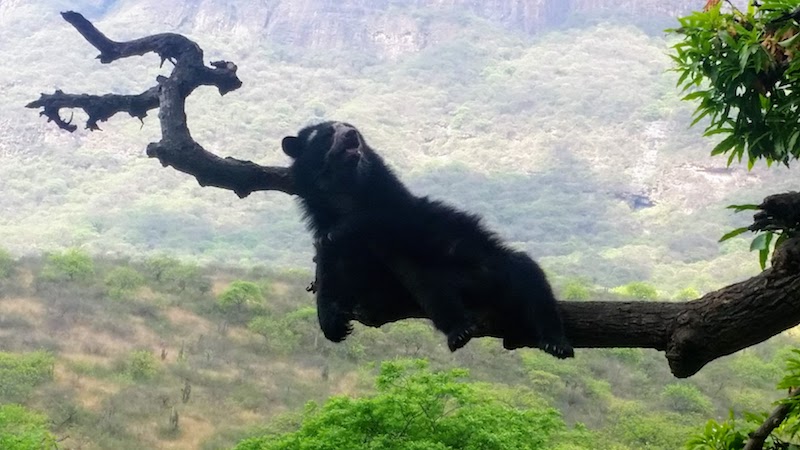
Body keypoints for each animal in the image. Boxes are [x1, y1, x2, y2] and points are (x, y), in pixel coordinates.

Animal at [282, 120, 576, 358]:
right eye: (328, 133)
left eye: (349, 127)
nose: (351, 135)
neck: (344, 193)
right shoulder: (323, 224)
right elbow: (328, 266)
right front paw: (334, 323)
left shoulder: (394, 209)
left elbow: (379, 220)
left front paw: (343, 232)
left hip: (484, 265)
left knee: (526, 277)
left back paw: (552, 341)